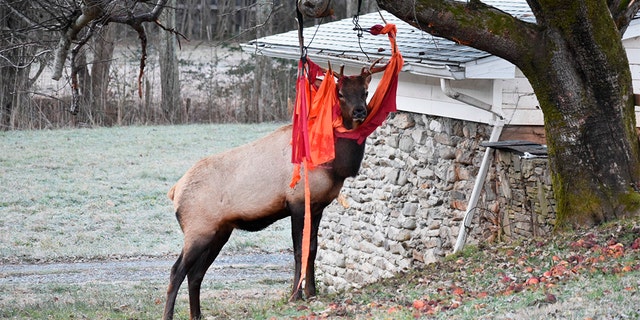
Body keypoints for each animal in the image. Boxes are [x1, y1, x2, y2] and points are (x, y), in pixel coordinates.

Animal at [162, 63, 380, 320]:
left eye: (365, 92)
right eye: (341, 94)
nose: (359, 112)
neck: (333, 165)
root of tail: (175, 191)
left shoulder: (317, 207)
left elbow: (312, 249)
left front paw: (312, 292)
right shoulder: (297, 202)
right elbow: (299, 250)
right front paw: (296, 295)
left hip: (219, 231)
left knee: (196, 274)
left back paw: (197, 315)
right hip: (199, 229)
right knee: (176, 270)